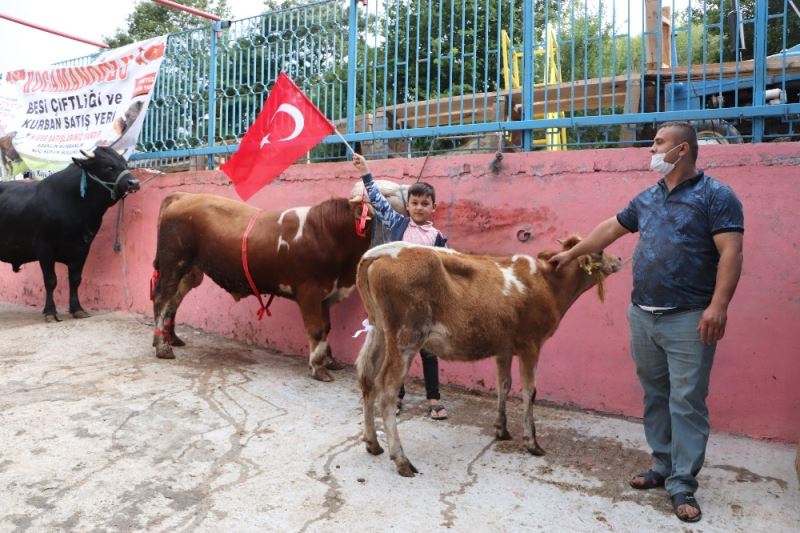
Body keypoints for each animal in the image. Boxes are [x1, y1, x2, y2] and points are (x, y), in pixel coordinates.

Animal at [0, 147, 141, 320]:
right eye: (108, 167)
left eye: (125, 164)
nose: (134, 183)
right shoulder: (44, 247)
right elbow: (51, 281)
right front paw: (50, 311)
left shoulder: (82, 248)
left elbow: (75, 279)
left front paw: (77, 308)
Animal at [152, 193, 374, 380]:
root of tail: (183, 196)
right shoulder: (310, 293)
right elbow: (317, 330)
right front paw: (318, 368)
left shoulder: (326, 296)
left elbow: (327, 328)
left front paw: (330, 361)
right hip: (173, 263)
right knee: (162, 300)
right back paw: (162, 347)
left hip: (190, 273)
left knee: (173, 302)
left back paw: (171, 339)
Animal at [356, 236, 624, 474]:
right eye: (600, 251)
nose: (619, 258)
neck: (547, 283)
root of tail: (382, 252)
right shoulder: (531, 344)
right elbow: (529, 391)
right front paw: (532, 442)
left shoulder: (504, 348)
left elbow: (503, 385)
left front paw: (501, 429)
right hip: (406, 337)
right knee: (387, 389)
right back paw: (401, 460)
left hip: (379, 331)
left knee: (367, 377)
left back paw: (373, 443)